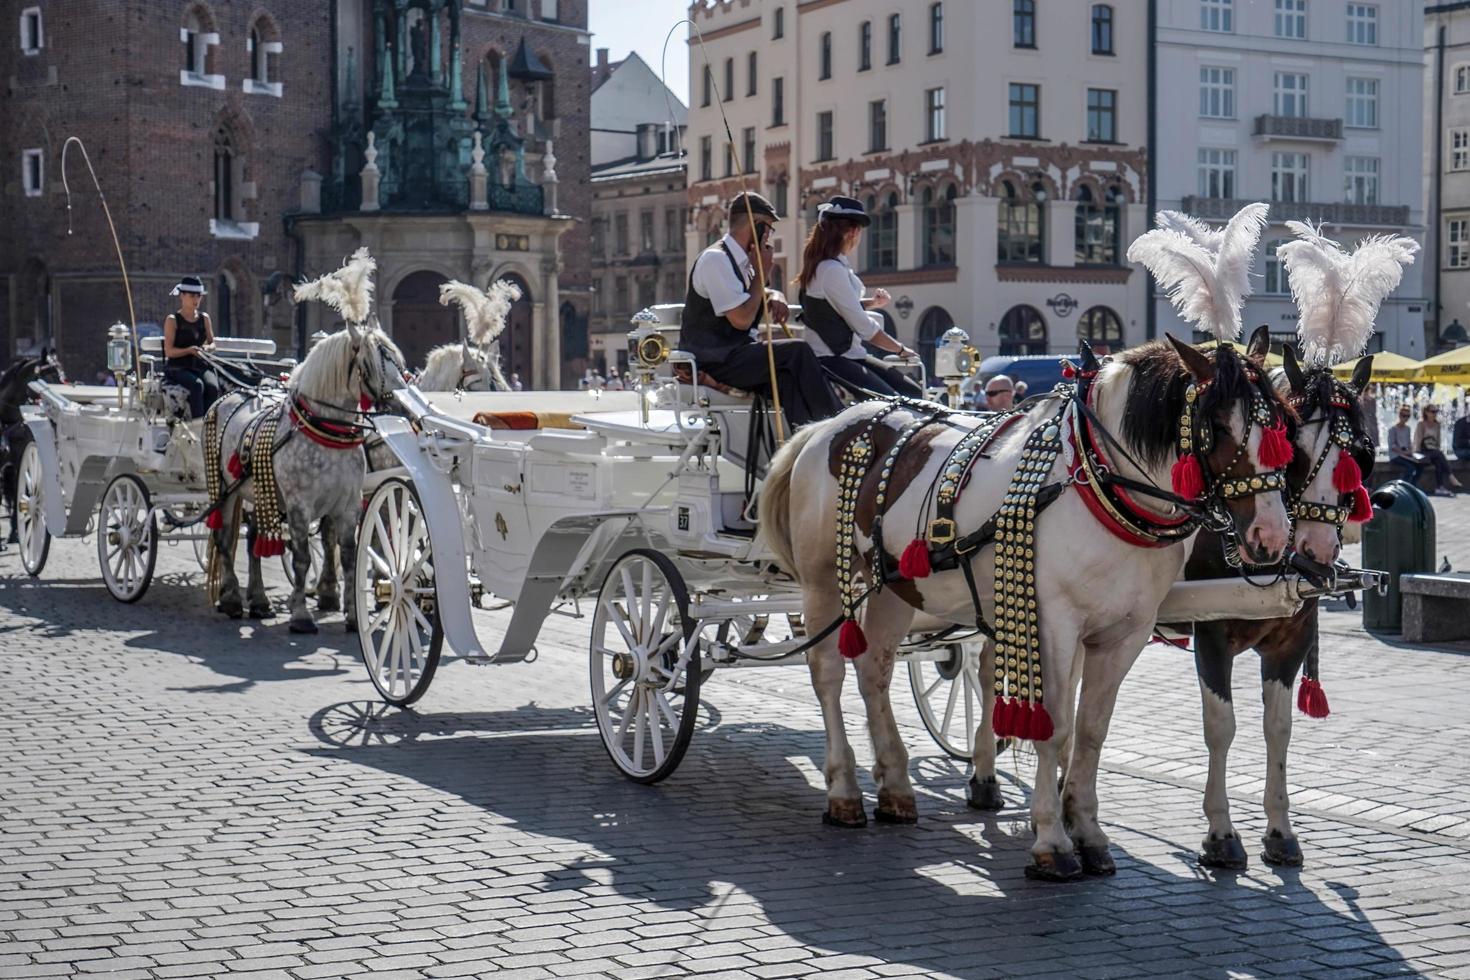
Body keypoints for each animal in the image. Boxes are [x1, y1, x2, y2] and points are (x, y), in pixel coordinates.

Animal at [204, 318, 405, 631]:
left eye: (397, 359)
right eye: (369, 363)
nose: (403, 403)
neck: (325, 430)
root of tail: (231, 394)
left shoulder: (348, 504)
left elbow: (349, 556)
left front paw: (351, 614)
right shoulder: (300, 505)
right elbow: (302, 558)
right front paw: (301, 615)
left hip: (260, 494)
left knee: (254, 541)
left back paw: (259, 601)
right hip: (225, 489)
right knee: (224, 538)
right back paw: (232, 599)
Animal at [764, 329, 1293, 881]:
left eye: (1282, 423)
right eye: (1217, 425)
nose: (1271, 535)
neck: (1096, 480)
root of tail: (830, 423)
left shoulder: (1124, 633)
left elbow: (1091, 730)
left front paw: (1088, 832)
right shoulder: (1053, 624)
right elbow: (1055, 727)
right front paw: (1052, 842)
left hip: (893, 589)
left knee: (875, 671)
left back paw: (895, 788)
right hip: (824, 579)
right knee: (828, 672)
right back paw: (844, 791)